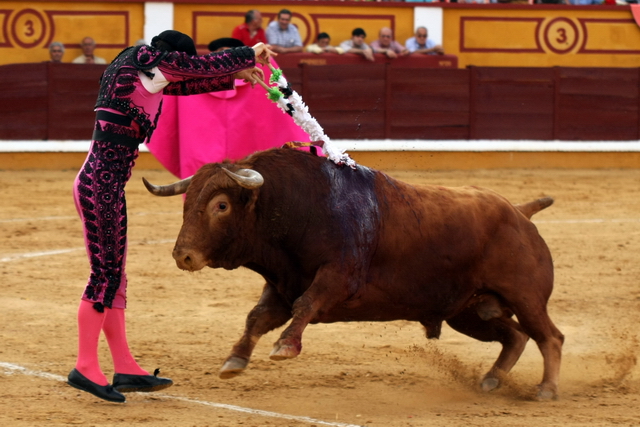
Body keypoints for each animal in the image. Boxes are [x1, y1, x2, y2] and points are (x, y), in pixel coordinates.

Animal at [145, 148, 564, 402]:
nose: (183, 255)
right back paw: (492, 379)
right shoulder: (282, 285)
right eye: (188, 202)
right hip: (470, 312)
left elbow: (306, 305)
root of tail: (519, 212)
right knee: (515, 336)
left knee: (549, 336)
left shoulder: (338, 278)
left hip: (526, 297)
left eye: (221, 205)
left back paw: (546, 389)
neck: (299, 208)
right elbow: (256, 318)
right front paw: (234, 361)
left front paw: (285, 347)